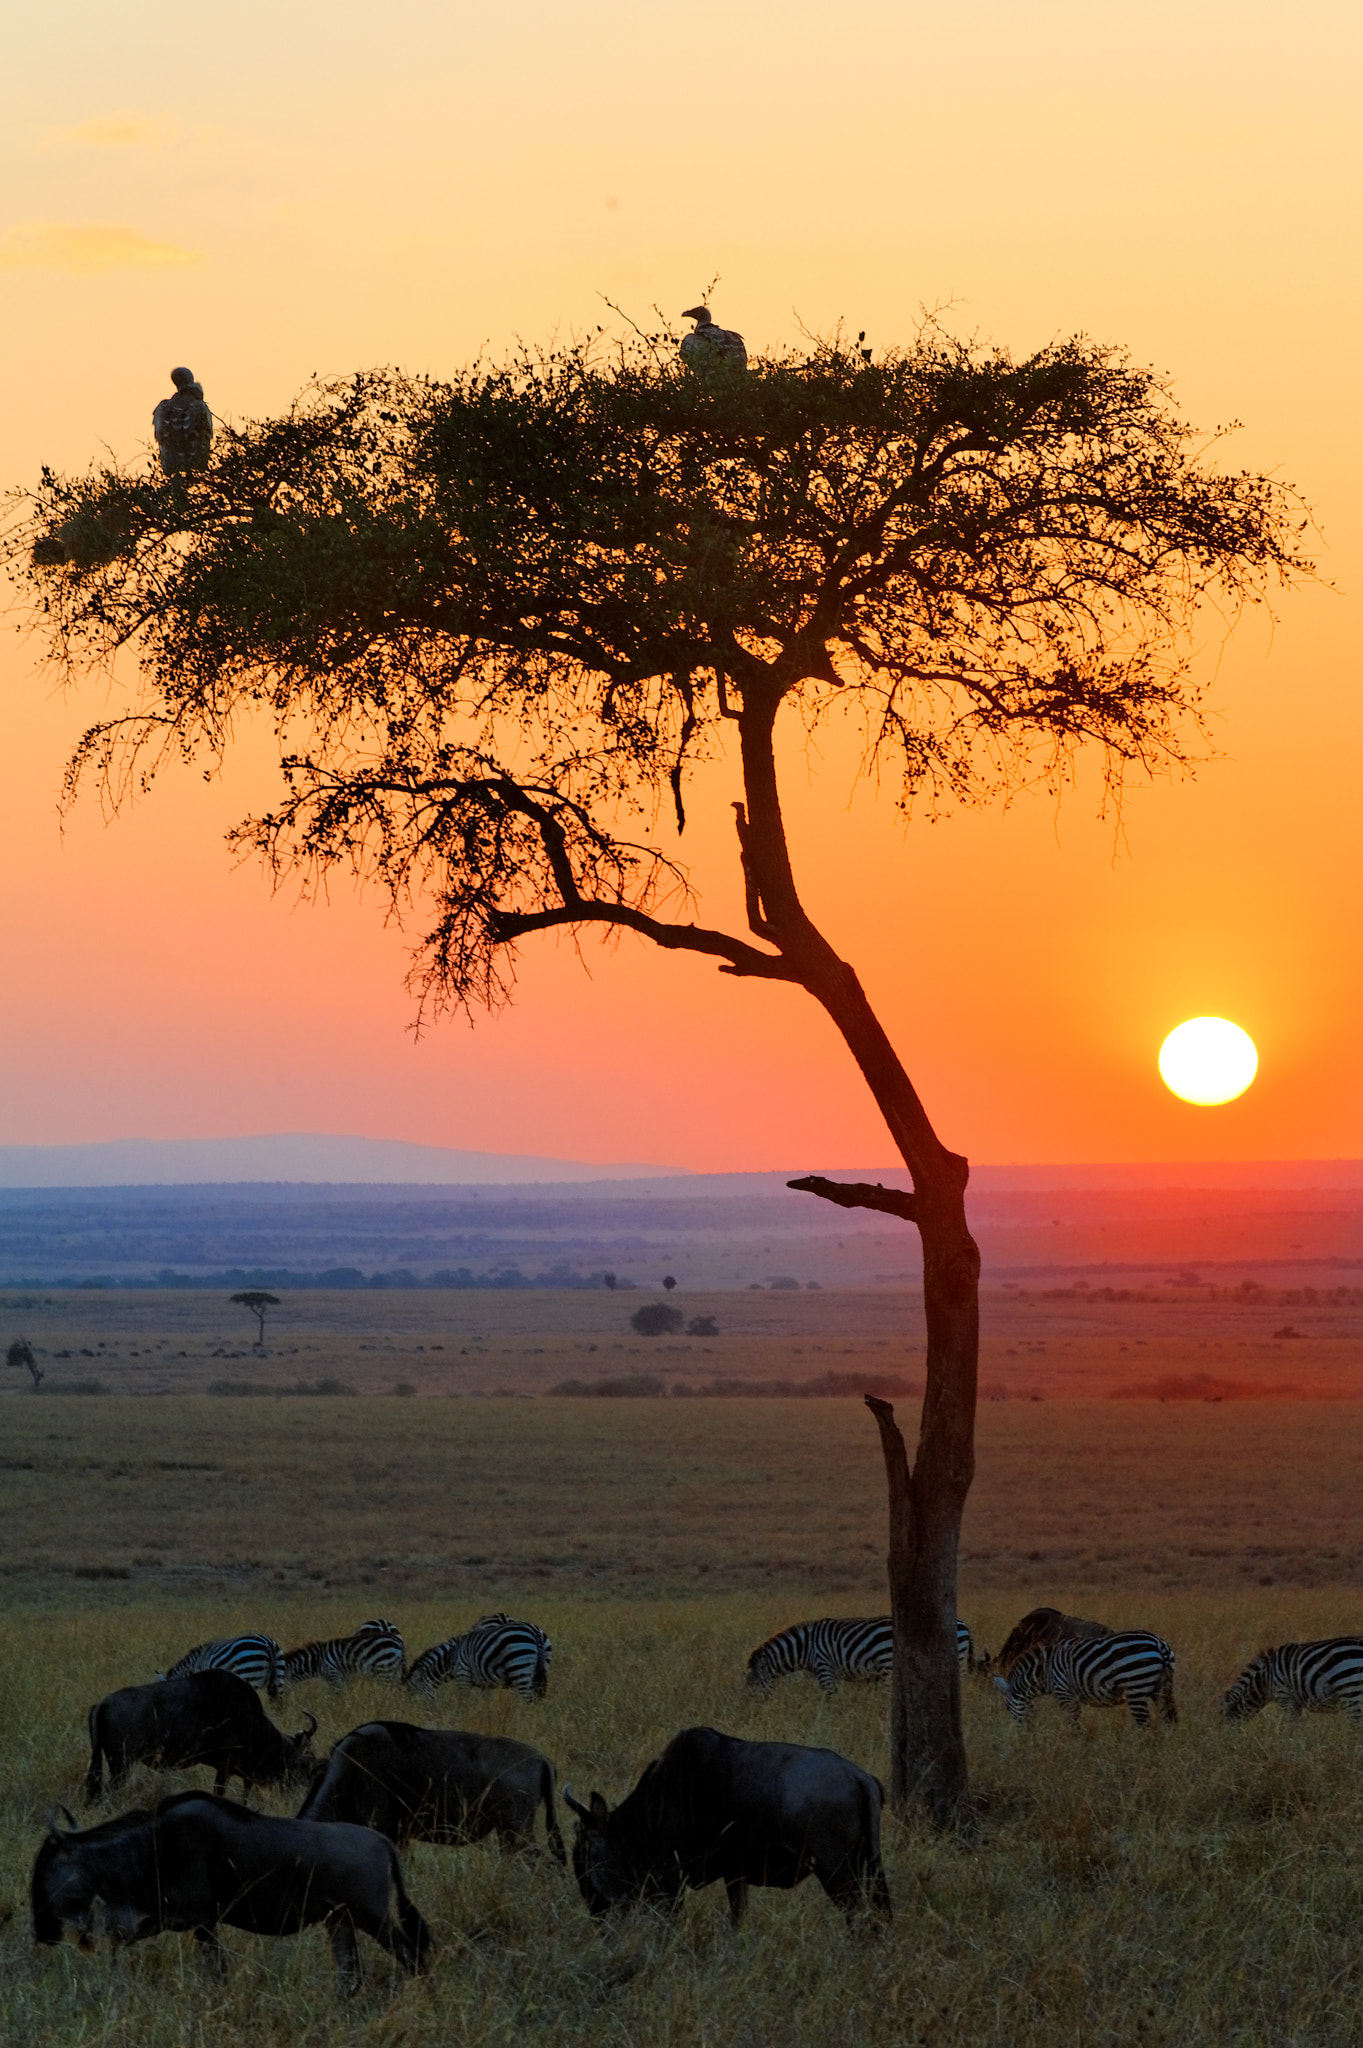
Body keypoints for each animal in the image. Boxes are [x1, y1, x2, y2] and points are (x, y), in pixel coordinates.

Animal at [401, 1605, 548, 1703]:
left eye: (413, 1695)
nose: (417, 1714)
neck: (451, 1657)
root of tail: (534, 1632)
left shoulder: (463, 1675)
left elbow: (463, 1701)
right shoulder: (486, 1681)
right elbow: (485, 1699)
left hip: (519, 1666)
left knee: (528, 1701)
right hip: (541, 1669)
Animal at [736, 1613, 970, 1695]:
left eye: (752, 1684)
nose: (748, 1711)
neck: (805, 1648)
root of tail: (963, 1623)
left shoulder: (824, 1668)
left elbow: (829, 1698)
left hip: (889, 1666)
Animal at [994, 1630, 1170, 1728]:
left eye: (1007, 1708)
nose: (1023, 1736)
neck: (1045, 1673)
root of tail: (1159, 1643)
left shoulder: (1065, 1694)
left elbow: (1074, 1725)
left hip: (1136, 1687)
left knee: (1144, 1725)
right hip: (1160, 1689)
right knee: (1169, 1720)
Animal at [1211, 1638, 1358, 1720]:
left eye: (1226, 1718)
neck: (1266, 1678)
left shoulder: (1285, 1698)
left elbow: (1290, 1729)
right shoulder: (1295, 1703)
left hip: (1350, 1689)